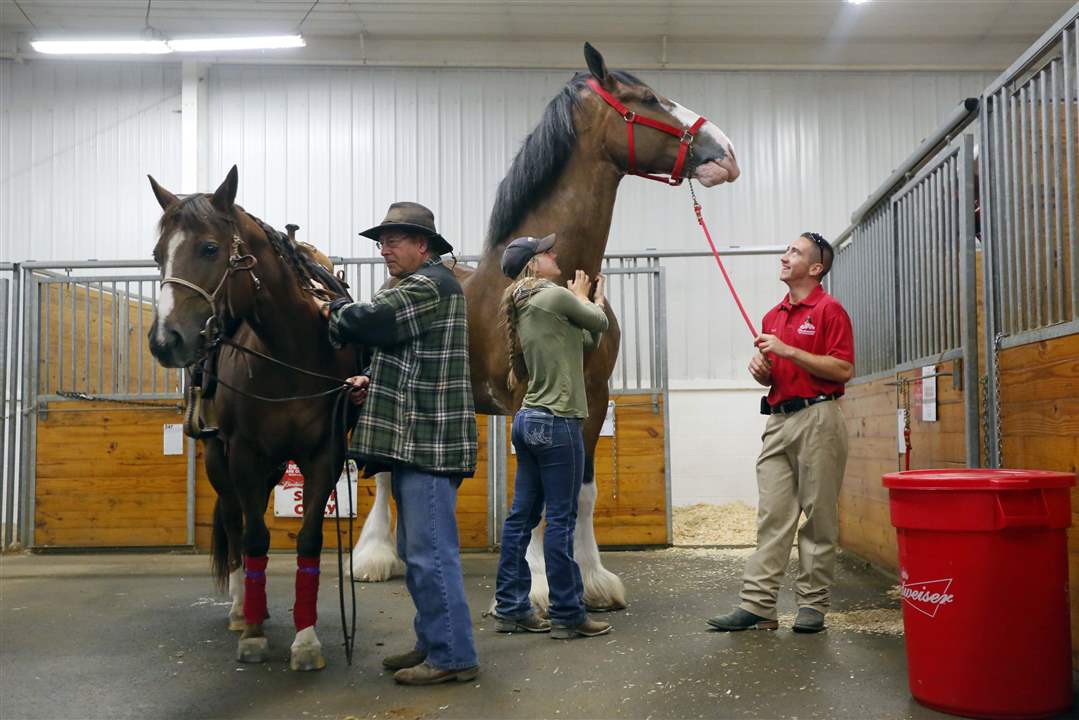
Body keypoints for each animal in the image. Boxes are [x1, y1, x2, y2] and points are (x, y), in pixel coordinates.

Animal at [143, 167, 351, 669]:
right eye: (158, 255)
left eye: (209, 248)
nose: (164, 341)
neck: (291, 353)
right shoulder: (243, 454)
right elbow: (255, 538)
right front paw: (254, 634)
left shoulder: (324, 455)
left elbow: (309, 539)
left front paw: (306, 640)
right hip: (221, 460)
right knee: (236, 523)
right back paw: (242, 609)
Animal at [353, 42, 742, 613]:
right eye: (648, 98)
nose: (726, 151)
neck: (546, 278)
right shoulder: (524, 398)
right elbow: (532, 493)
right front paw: (536, 586)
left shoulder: (594, 396)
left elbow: (583, 491)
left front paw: (593, 578)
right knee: (380, 477)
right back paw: (376, 558)